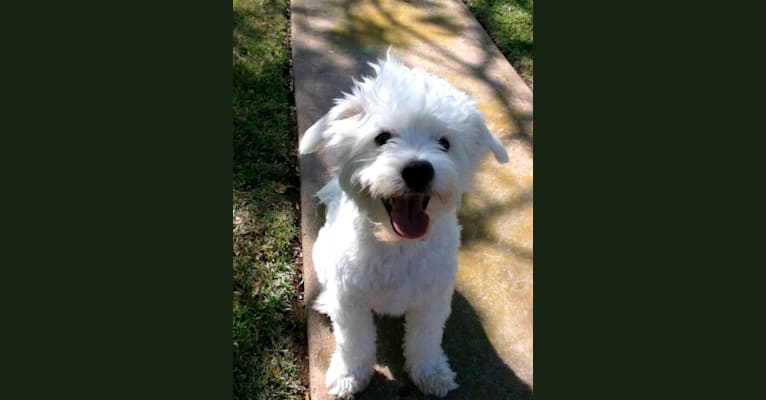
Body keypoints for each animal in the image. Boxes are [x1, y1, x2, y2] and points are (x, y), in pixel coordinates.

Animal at [300, 51, 510, 398]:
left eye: (445, 143)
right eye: (382, 138)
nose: (418, 170)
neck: (397, 245)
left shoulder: (431, 302)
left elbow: (425, 341)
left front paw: (430, 372)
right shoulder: (351, 303)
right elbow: (354, 343)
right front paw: (349, 375)